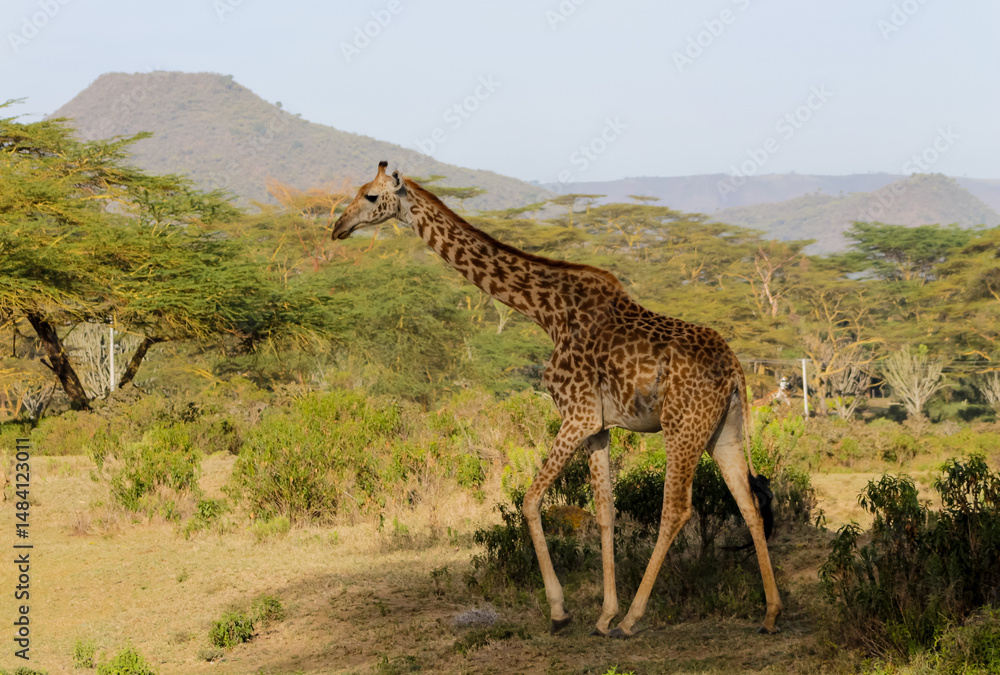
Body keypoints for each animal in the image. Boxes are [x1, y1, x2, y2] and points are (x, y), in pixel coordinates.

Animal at [332, 162, 783, 638]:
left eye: (368, 196)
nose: (338, 228)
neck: (546, 311)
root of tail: (736, 370)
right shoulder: (598, 427)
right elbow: (604, 511)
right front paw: (603, 615)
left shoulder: (577, 415)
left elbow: (530, 501)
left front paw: (561, 612)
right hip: (723, 431)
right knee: (749, 504)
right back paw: (770, 614)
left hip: (682, 427)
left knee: (677, 509)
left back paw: (634, 619)